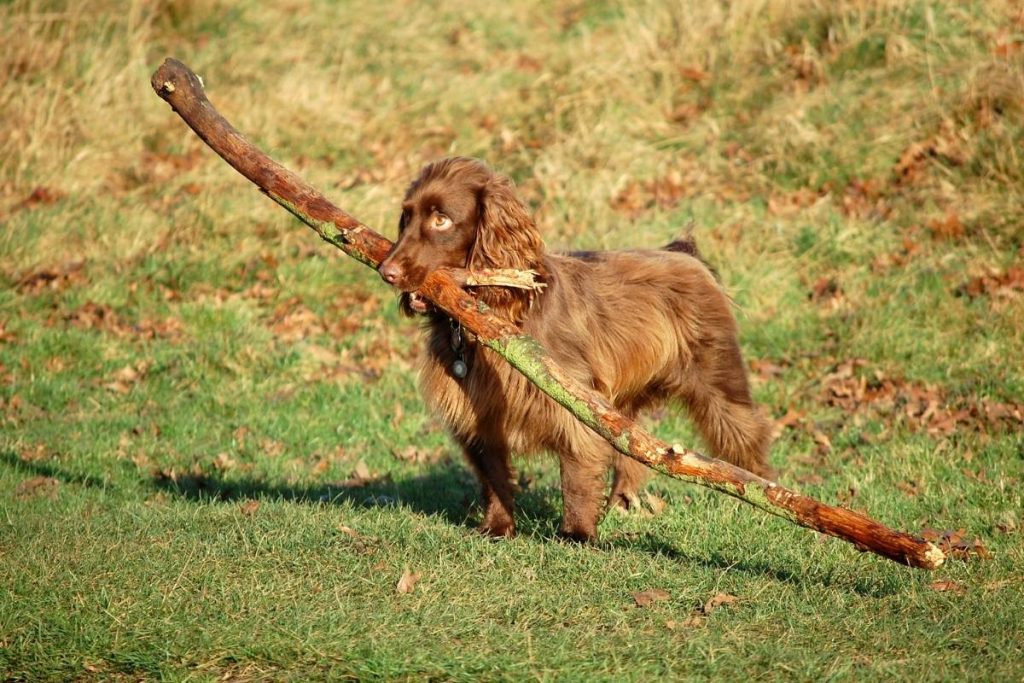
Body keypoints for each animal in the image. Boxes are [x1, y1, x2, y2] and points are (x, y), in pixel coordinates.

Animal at [380, 157, 770, 540]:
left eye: (441, 219)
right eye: (406, 216)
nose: (386, 271)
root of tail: (683, 252)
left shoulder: (573, 400)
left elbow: (577, 471)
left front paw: (577, 534)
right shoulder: (479, 414)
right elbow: (493, 475)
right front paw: (497, 528)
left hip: (717, 380)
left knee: (747, 439)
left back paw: (756, 502)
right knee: (633, 453)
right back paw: (622, 505)